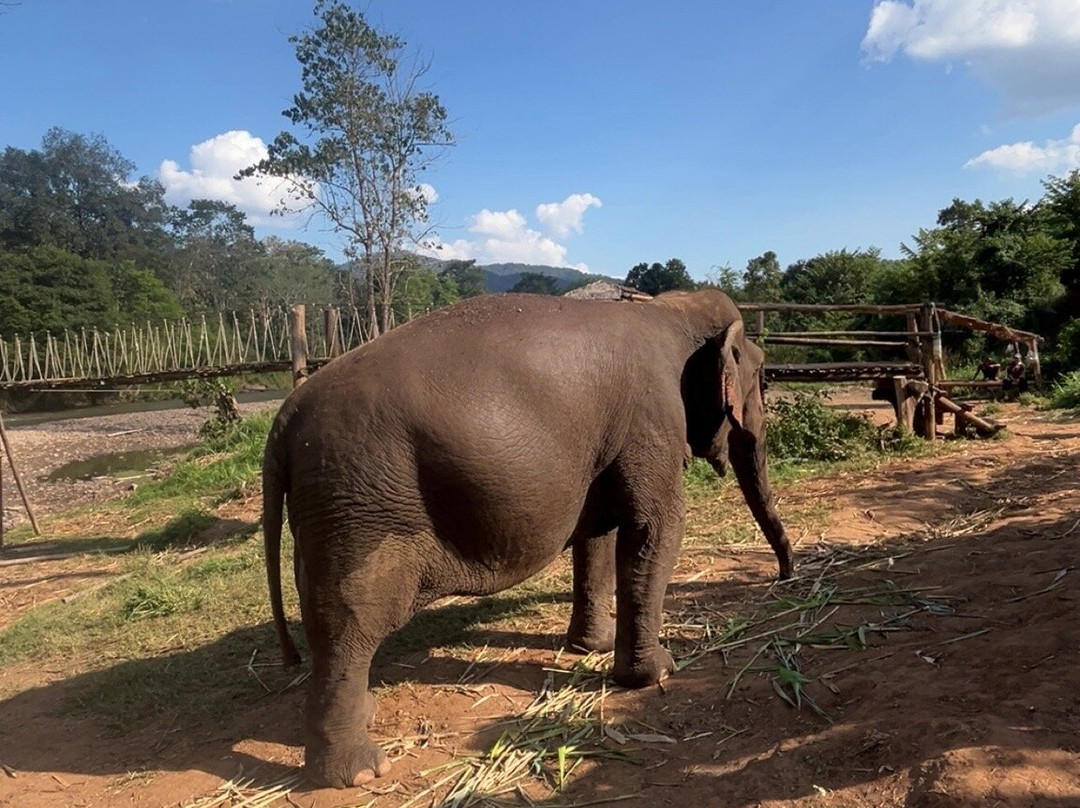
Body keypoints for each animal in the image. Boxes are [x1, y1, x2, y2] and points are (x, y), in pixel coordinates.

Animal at [262, 288, 792, 788]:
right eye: (764, 378)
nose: (783, 576)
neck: (669, 309)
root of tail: (285, 419)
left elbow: (598, 534)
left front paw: (592, 648)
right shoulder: (653, 418)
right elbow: (655, 528)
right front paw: (658, 673)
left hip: (329, 509)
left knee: (323, 613)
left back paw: (365, 715)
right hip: (360, 503)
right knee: (352, 619)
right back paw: (361, 772)